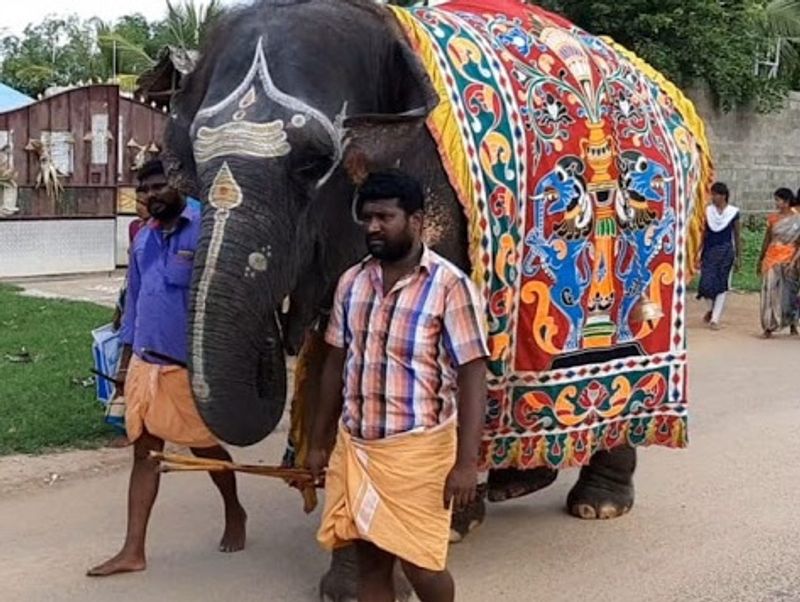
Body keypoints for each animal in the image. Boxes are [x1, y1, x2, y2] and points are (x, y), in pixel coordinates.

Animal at [161, 0, 708, 596]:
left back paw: (597, 506)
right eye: (192, 159)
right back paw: (496, 499)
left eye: (312, 163)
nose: (278, 335)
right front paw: (359, 580)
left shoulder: (441, 204)